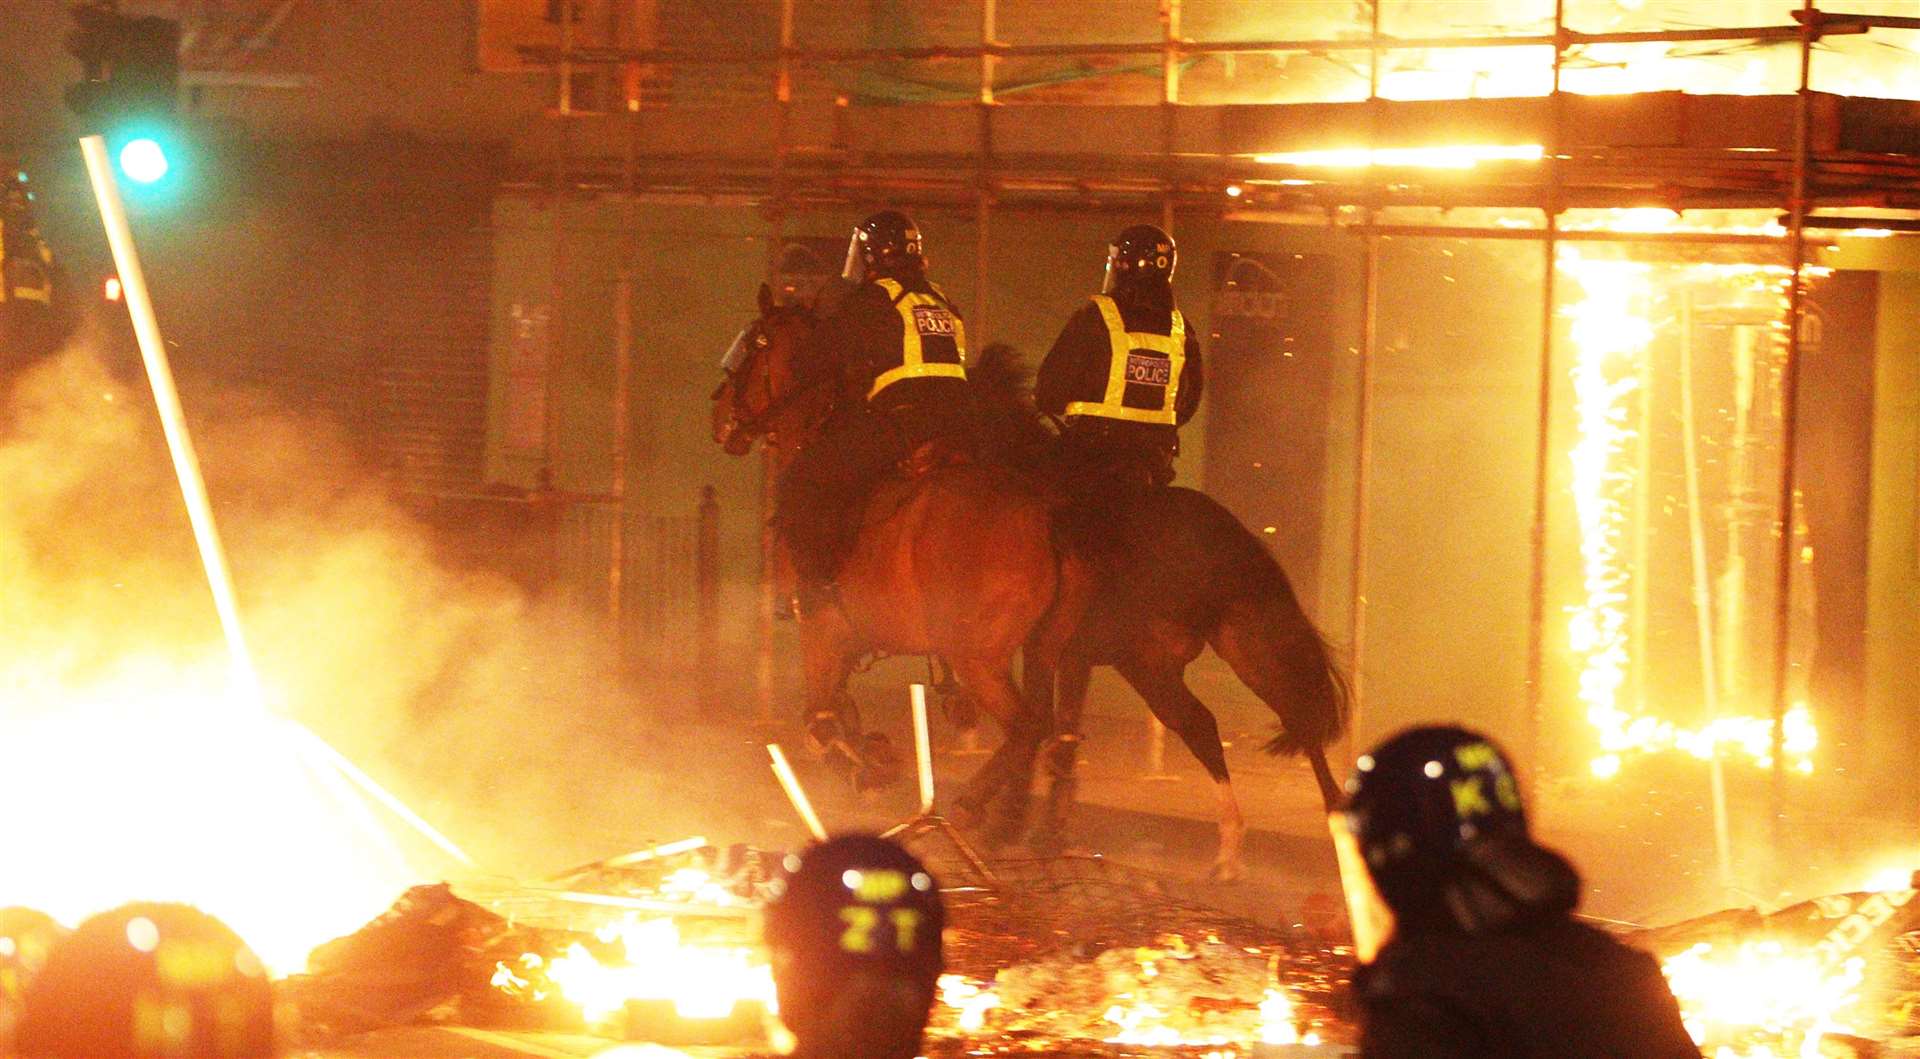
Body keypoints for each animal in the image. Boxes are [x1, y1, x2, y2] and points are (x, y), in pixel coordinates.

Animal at [718, 285, 1090, 824]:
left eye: (750, 345)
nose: (719, 417)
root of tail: (1045, 516)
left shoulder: (822, 628)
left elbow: (819, 722)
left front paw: (864, 767)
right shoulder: (850, 636)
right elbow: (841, 712)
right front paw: (874, 757)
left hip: (980, 659)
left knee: (1025, 726)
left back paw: (974, 805)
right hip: (1042, 649)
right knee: (1041, 724)